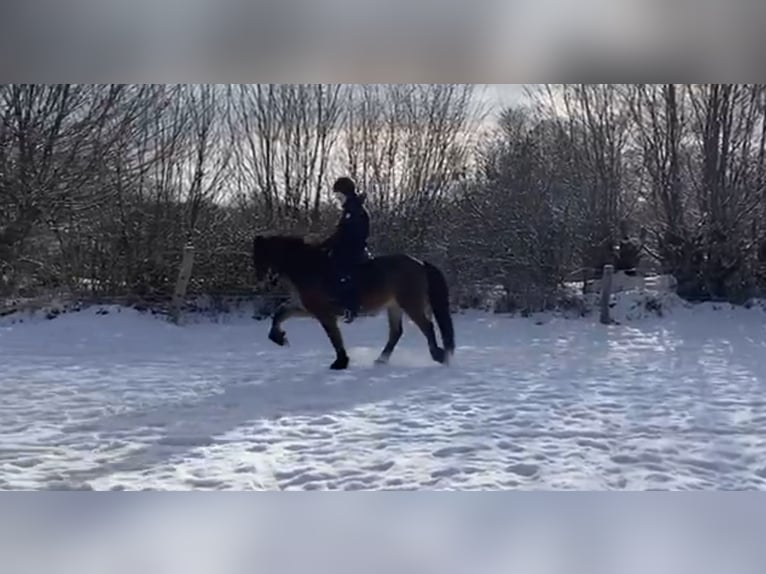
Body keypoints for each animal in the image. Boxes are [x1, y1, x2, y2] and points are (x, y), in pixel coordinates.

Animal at [251, 234, 455, 370]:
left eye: (260, 256)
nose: (260, 282)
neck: (309, 268)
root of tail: (420, 263)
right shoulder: (307, 309)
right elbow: (280, 313)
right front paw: (279, 338)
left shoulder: (323, 313)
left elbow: (334, 337)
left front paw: (340, 362)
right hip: (394, 306)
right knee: (396, 332)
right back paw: (381, 360)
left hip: (410, 304)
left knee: (427, 327)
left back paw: (440, 355)